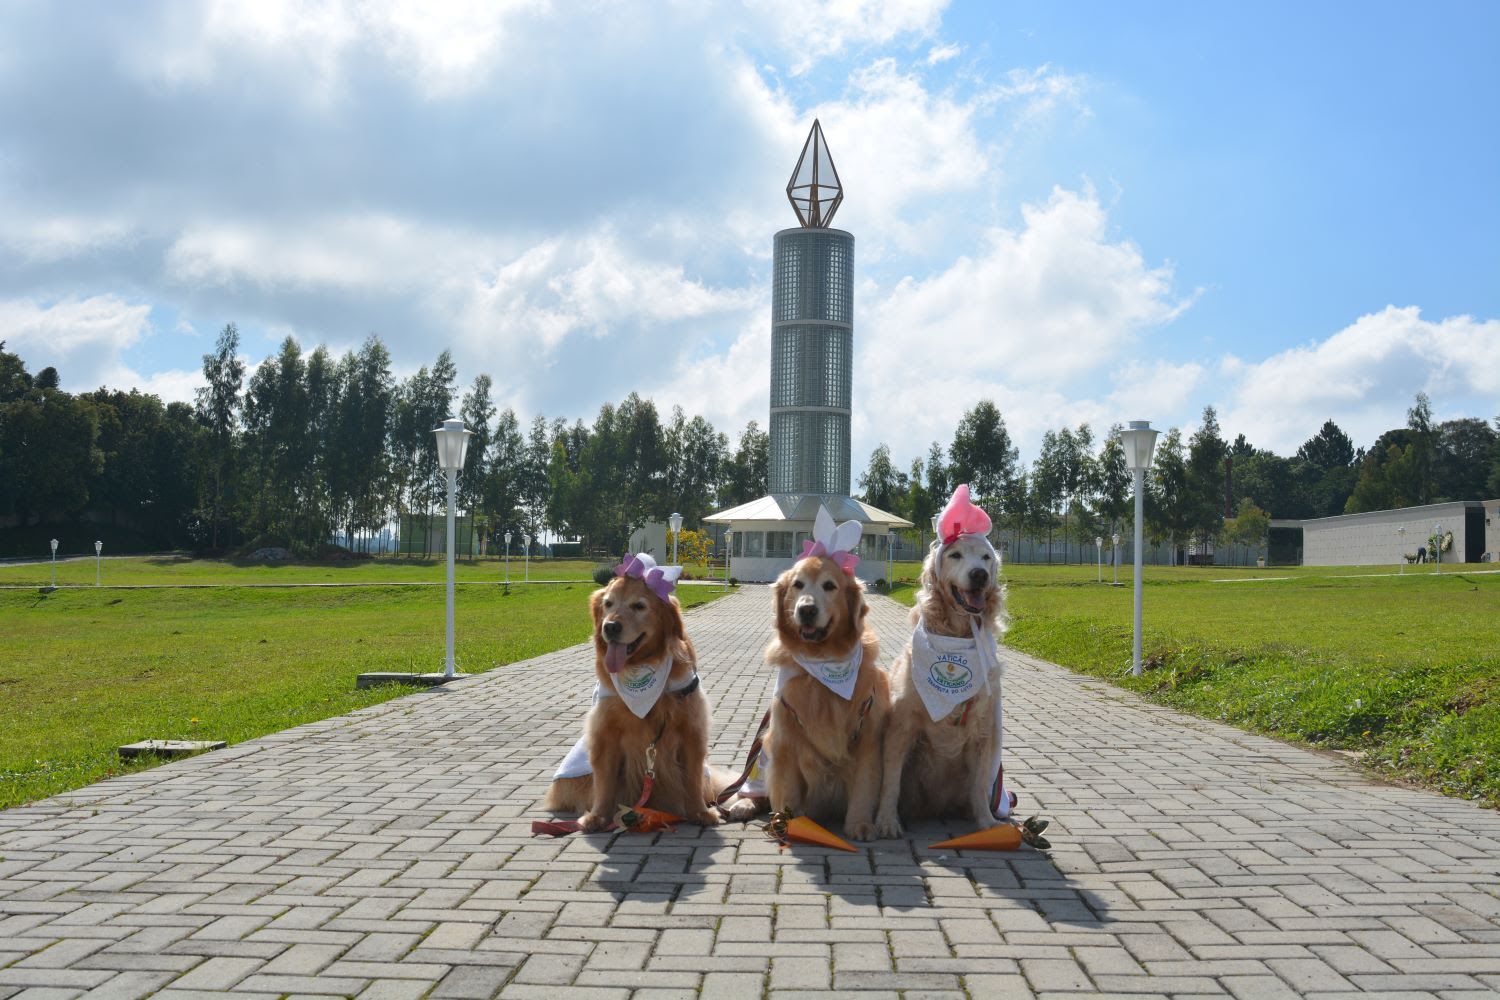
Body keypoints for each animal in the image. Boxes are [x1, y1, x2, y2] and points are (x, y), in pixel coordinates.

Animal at [546, 554, 726, 827]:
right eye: (608, 604)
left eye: (639, 606)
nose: (610, 627)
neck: (641, 667)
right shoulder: (605, 732)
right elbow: (604, 783)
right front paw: (598, 816)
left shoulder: (691, 730)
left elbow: (693, 780)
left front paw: (700, 812)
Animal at [876, 485, 1014, 839]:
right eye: (955, 555)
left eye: (986, 557)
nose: (979, 574)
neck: (957, 637)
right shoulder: (901, 726)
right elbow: (890, 781)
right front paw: (887, 821)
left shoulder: (982, 730)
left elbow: (979, 786)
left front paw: (987, 824)